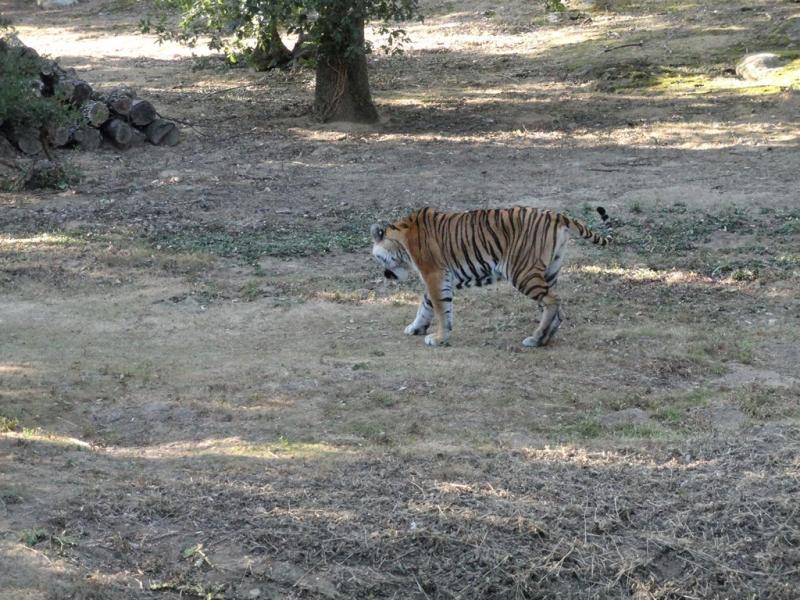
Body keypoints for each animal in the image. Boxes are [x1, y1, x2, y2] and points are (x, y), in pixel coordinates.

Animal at [370, 206, 611, 348]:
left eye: (379, 259)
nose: (385, 275)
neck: (402, 240)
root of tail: (554, 214)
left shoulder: (434, 275)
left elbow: (440, 309)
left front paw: (438, 338)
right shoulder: (437, 278)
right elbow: (426, 306)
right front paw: (416, 328)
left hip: (521, 272)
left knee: (553, 300)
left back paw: (537, 337)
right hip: (550, 271)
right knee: (555, 305)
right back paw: (545, 337)